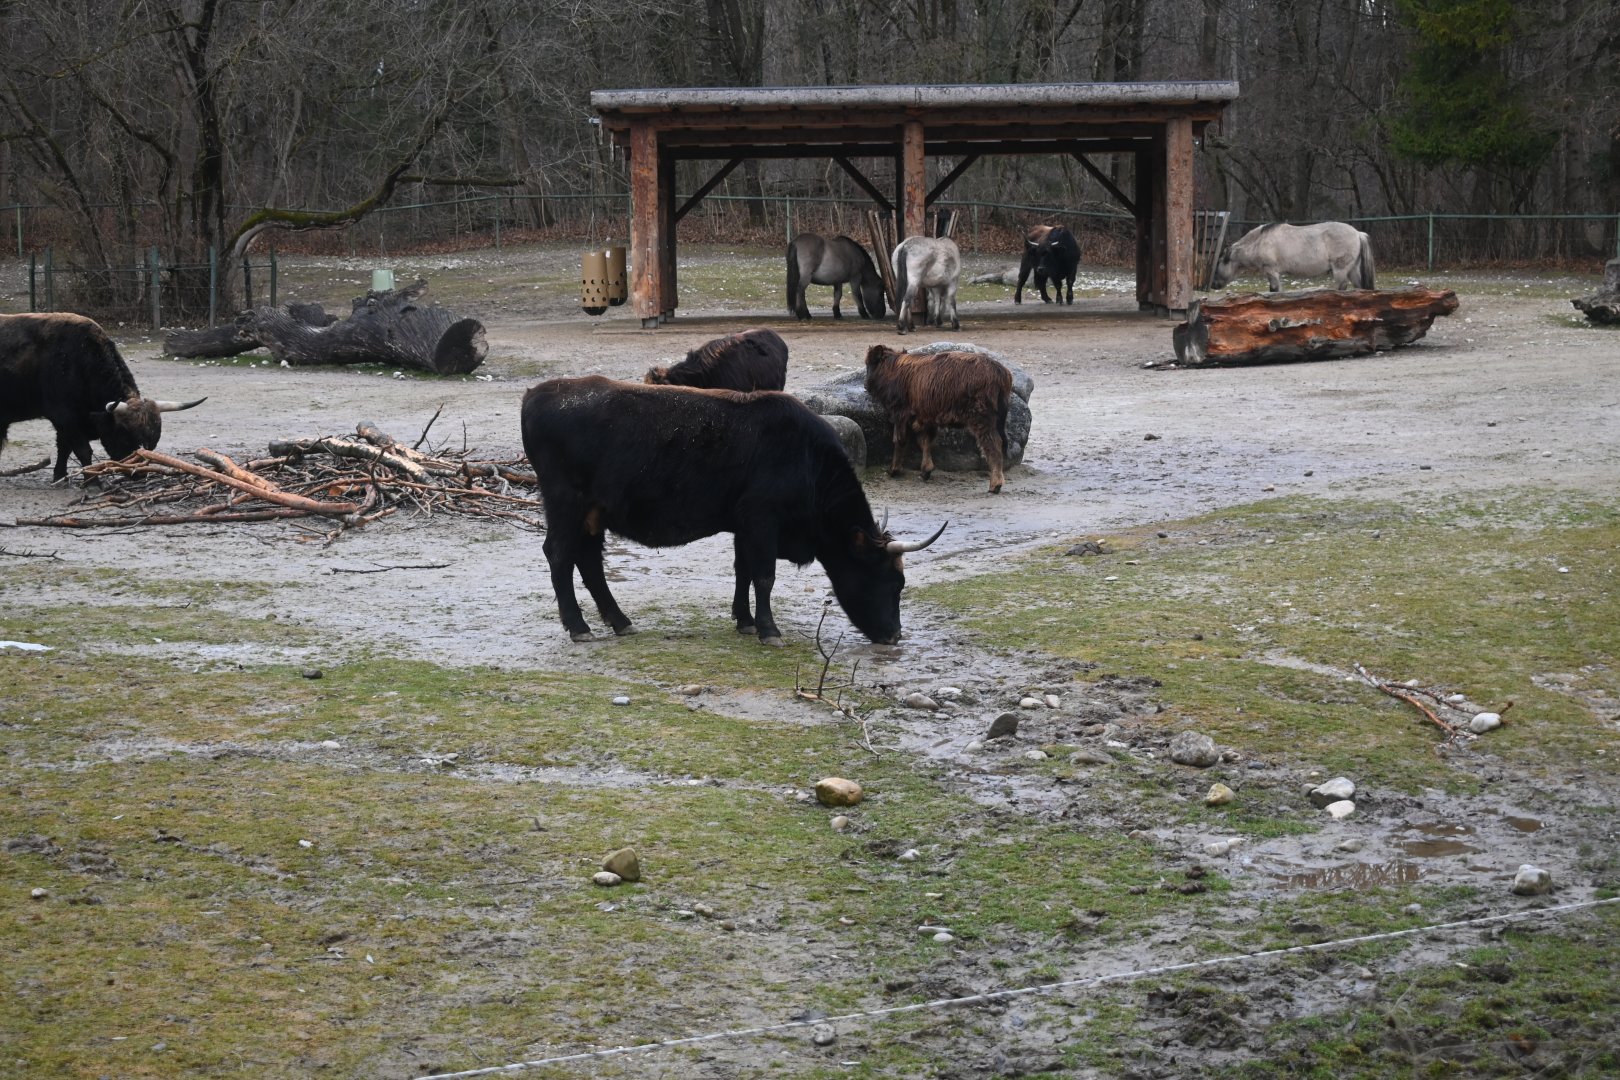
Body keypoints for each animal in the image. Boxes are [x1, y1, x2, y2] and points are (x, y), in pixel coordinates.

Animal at [1, 312, 205, 481]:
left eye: (152, 443)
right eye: (126, 436)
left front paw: (60, 476)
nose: (139, 474)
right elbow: (82, 450)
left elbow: (64, 448)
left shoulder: (67, 422)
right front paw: (92, 481)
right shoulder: (64, 417)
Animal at [521, 376, 946, 646]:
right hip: (566, 503)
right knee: (559, 555)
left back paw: (619, 622)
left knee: (589, 561)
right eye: (893, 582)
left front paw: (745, 621)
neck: (806, 458)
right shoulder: (762, 519)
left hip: (591, 513)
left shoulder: (745, 525)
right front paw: (769, 631)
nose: (894, 636)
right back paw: (578, 626)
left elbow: (743, 570)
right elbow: (764, 576)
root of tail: (537, 394)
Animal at [864, 344, 1013, 494]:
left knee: (993, 445)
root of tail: (1000, 371)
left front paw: (894, 470)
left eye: (869, 363)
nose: (865, 385)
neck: (893, 368)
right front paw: (926, 471)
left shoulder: (900, 415)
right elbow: (925, 441)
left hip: (982, 420)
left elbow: (900, 440)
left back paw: (995, 485)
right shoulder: (925, 418)